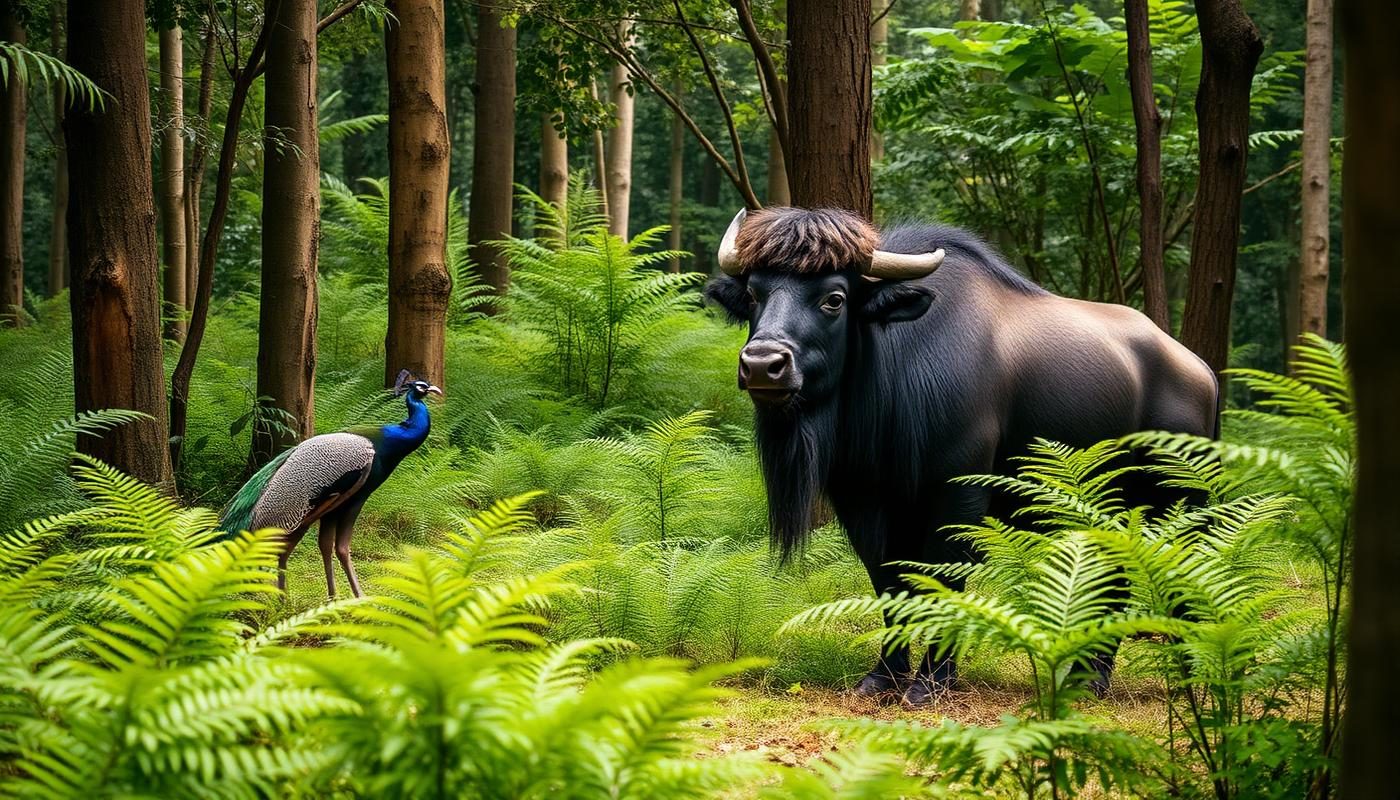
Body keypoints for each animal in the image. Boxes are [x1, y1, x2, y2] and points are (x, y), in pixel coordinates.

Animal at [705, 207, 1218, 706]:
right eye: (753, 293)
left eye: (834, 298)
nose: (762, 365)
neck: (895, 365)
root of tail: (1199, 369)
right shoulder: (866, 500)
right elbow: (887, 582)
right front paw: (884, 676)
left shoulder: (959, 495)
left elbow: (946, 578)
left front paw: (931, 682)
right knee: (1117, 579)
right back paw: (1090, 679)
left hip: (1179, 508)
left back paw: (1190, 675)